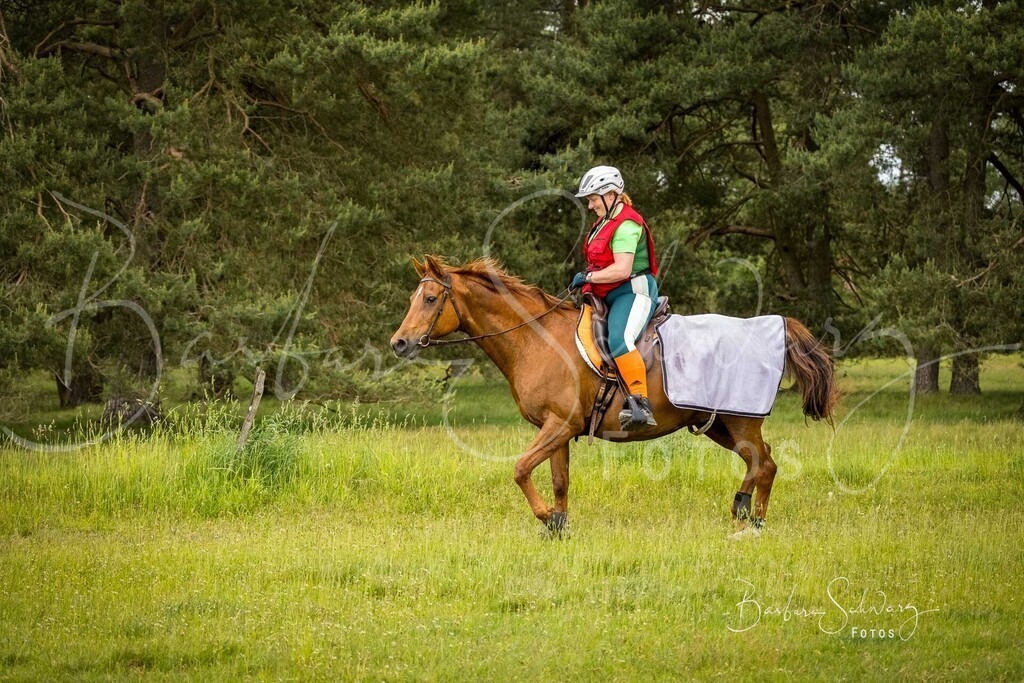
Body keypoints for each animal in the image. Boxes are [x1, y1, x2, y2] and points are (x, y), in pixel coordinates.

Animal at [390, 255, 839, 538]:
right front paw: (558, 526)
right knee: (762, 462)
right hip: (718, 425)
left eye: (430, 299)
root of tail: (772, 327)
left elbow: (519, 469)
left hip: (740, 420)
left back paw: (753, 521)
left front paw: (545, 518)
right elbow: (559, 481)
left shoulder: (558, 425)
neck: (537, 338)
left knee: (765, 464)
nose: (399, 343)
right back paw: (742, 510)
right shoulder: (557, 430)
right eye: (413, 298)